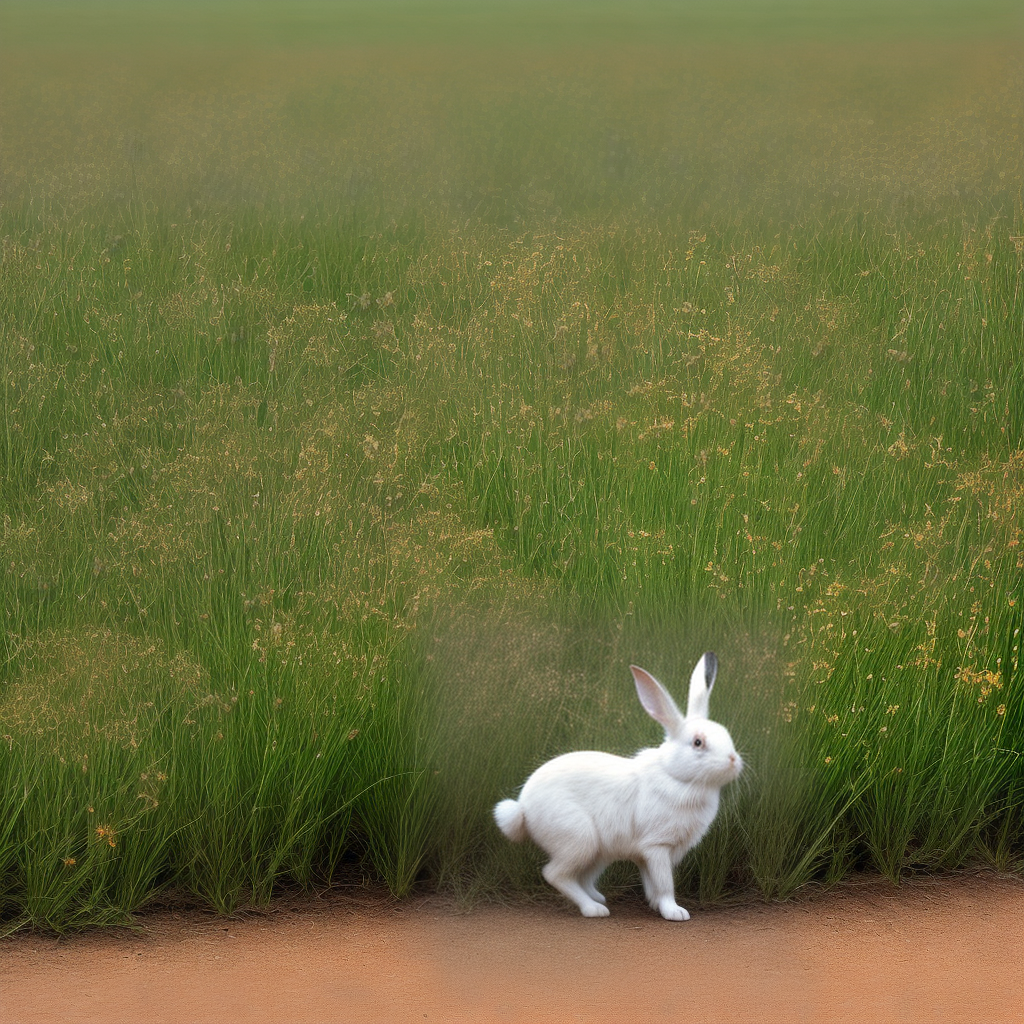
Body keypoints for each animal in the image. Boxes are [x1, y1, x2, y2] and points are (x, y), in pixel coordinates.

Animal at [493, 652, 742, 920]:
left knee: (581, 877)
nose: (733, 760)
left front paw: (655, 905)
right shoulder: (657, 846)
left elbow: (651, 883)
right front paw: (674, 912)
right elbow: (664, 883)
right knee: (555, 874)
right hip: (579, 840)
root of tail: (522, 809)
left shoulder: (648, 854)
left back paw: (598, 898)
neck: (674, 775)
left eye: (726, 734)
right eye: (698, 742)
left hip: (598, 853)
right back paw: (594, 909)